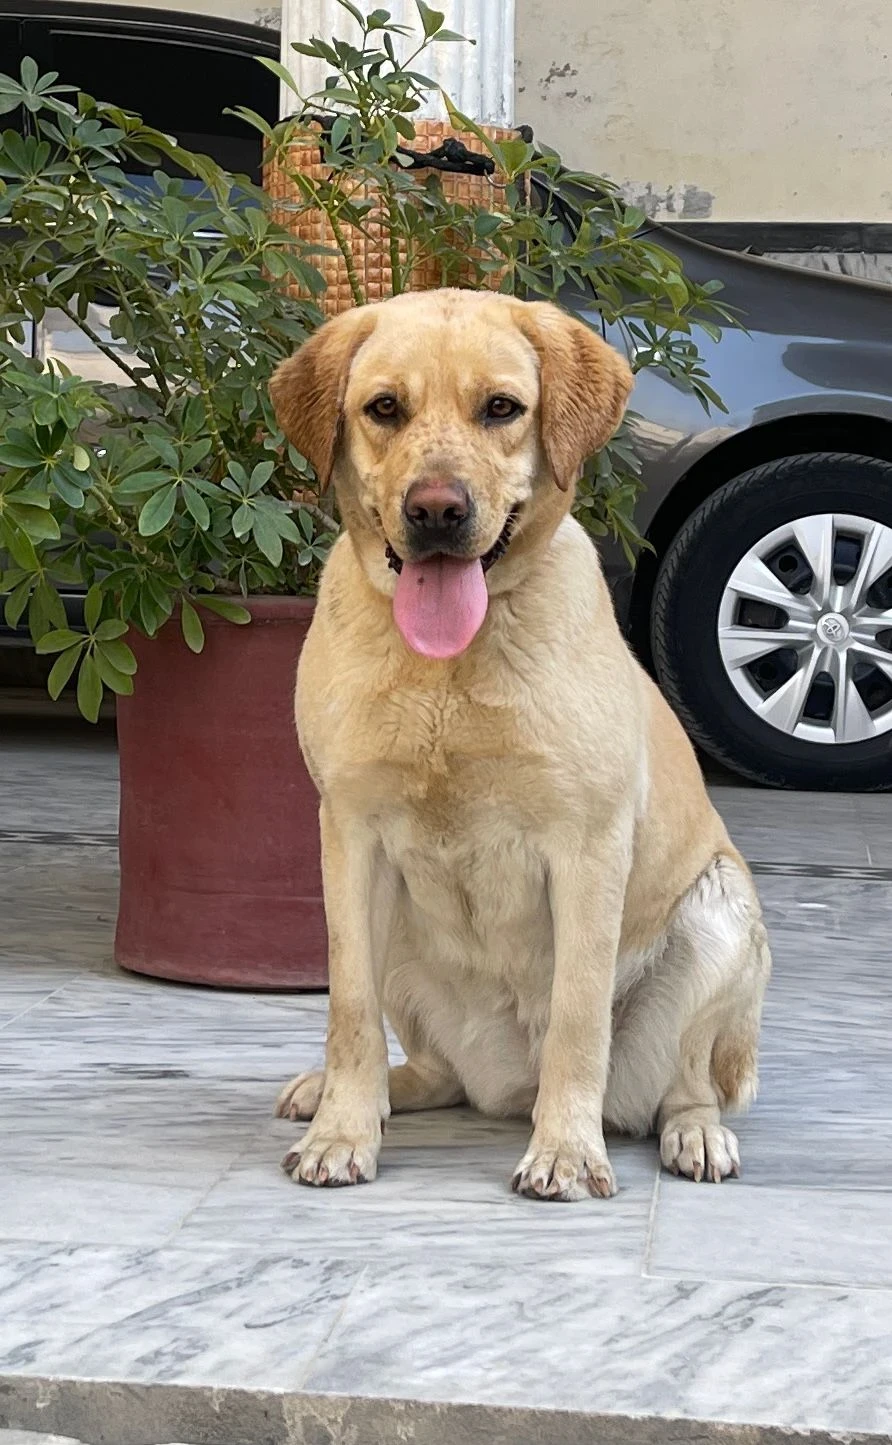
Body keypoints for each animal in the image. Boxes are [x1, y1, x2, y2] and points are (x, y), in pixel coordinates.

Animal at [267, 284, 769, 1196]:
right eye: (383, 408)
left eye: (501, 408)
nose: (436, 510)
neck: (448, 668)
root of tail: (506, 1086)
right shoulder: (350, 838)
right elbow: (349, 1010)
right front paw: (342, 1132)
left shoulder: (588, 848)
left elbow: (578, 1017)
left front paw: (566, 1150)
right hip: (400, 940)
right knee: (426, 1065)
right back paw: (353, 1093)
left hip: (719, 916)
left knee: (684, 1081)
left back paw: (692, 1133)